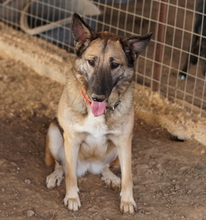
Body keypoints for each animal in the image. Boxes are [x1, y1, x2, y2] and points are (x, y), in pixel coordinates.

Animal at [44, 12, 151, 214]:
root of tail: (89, 167)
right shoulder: (71, 139)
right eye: (91, 61)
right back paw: (55, 176)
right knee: (61, 165)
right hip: (54, 133)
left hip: (117, 149)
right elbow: (70, 175)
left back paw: (110, 176)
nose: (98, 97)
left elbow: (128, 176)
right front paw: (72, 197)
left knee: (106, 167)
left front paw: (127, 201)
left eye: (115, 64)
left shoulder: (124, 140)